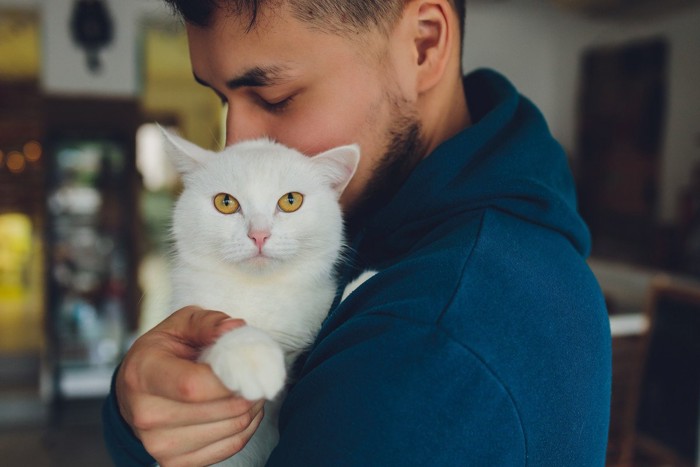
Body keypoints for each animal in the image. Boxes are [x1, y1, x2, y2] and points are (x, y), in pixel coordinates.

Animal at [163, 129, 360, 467]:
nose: (259, 234)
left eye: (291, 201)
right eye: (226, 202)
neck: (258, 290)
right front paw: (250, 354)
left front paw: (362, 282)